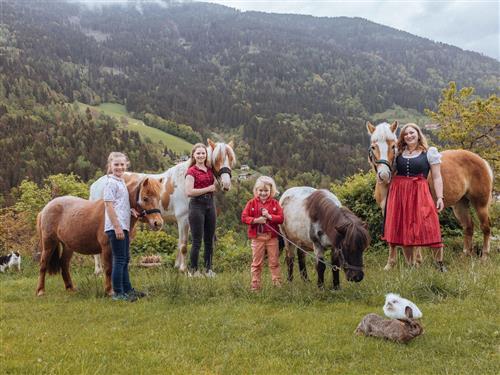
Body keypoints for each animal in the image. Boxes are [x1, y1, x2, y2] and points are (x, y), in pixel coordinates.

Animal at [35, 176, 164, 296]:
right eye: (145, 198)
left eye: (159, 198)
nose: (158, 223)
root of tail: (46, 208)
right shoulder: (106, 247)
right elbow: (108, 269)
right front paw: (109, 291)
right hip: (49, 243)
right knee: (43, 264)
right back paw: (40, 291)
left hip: (68, 246)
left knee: (64, 264)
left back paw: (70, 288)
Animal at [90, 140, 236, 274]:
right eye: (217, 159)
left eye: (230, 159)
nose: (226, 184)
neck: (184, 181)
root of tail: (96, 184)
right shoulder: (183, 219)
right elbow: (183, 245)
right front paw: (183, 269)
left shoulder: (186, 220)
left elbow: (179, 243)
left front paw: (177, 266)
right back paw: (98, 270)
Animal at [366, 122, 494, 268]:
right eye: (373, 147)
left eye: (393, 146)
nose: (384, 175)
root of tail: (482, 160)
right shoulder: (387, 210)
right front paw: (390, 265)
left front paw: (416, 263)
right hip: (460, 204)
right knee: (468, 227)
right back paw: (465, 255)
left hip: (481, 204)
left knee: (485, 227)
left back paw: (484, 257)